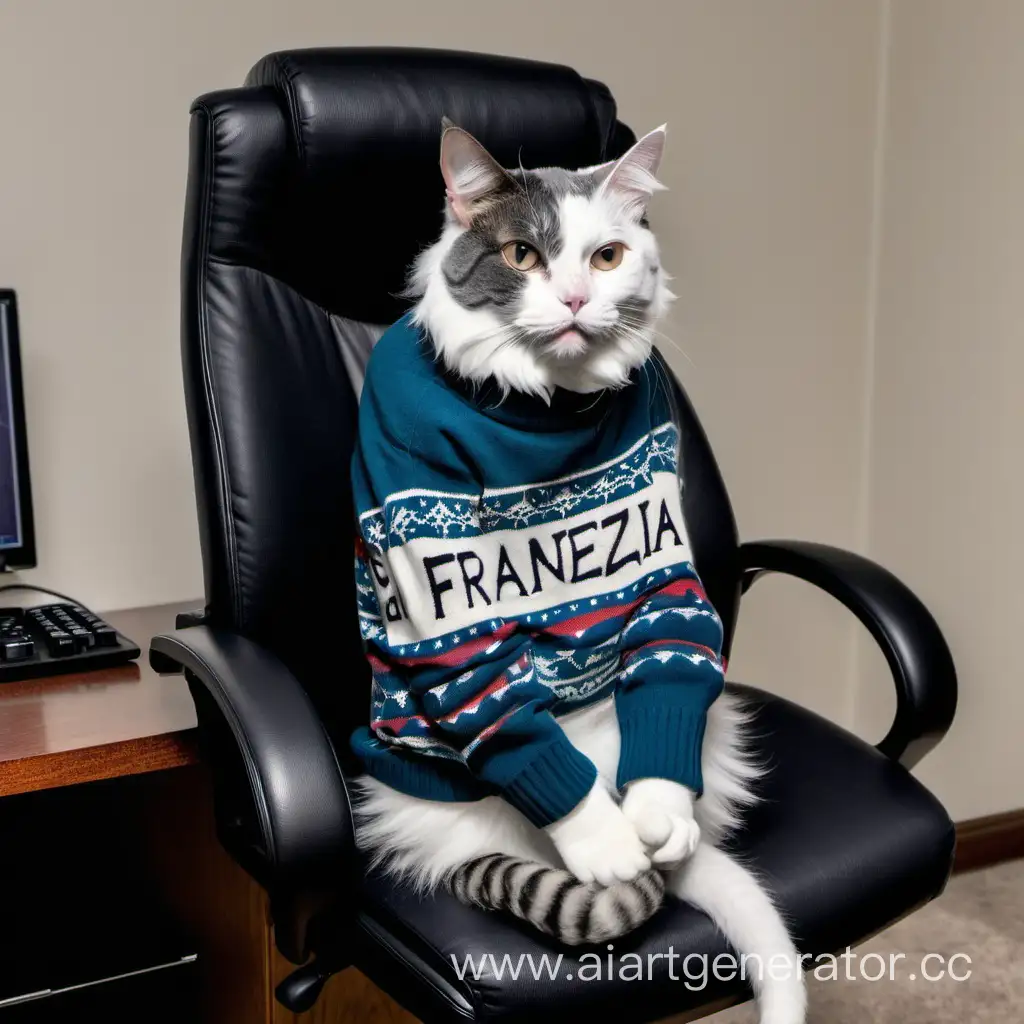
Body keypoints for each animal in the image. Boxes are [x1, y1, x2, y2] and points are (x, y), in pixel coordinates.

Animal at [352, 121, 806, 1024]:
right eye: (522, 255)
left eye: (606, 257)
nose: (570, 301)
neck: (543, 407)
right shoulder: (442, 600)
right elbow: (495, 692)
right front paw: (603, 842)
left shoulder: (662, 543)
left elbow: (668, 632)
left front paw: (657, 811)